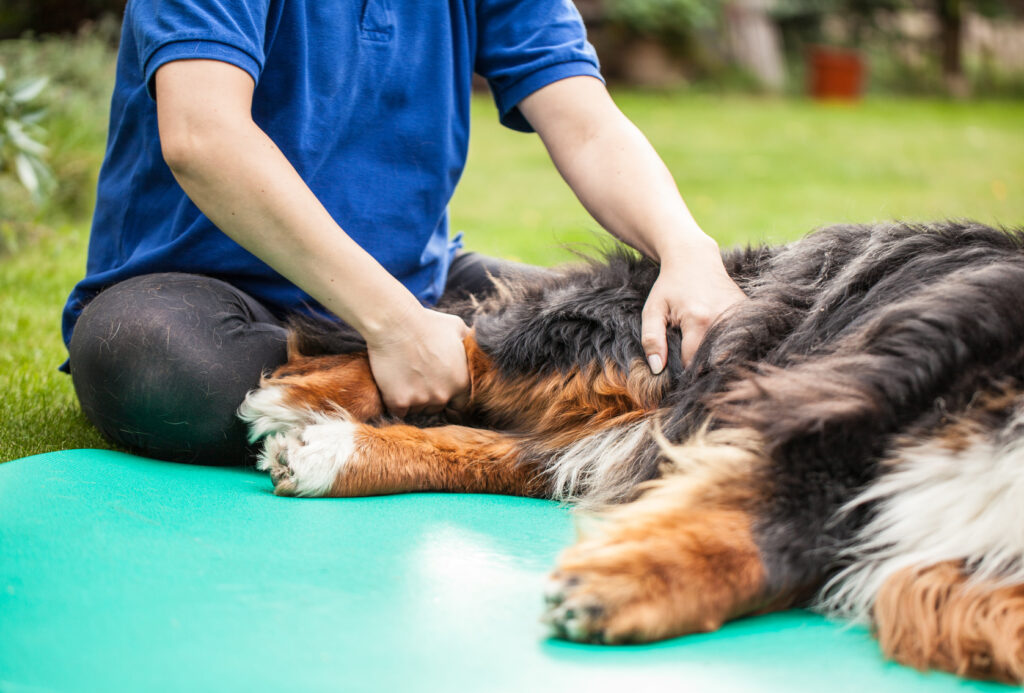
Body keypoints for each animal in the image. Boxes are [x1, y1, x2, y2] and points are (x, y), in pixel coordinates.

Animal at [235, 220, 1024, 679]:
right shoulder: (851, 396)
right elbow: (775, 525)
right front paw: (628, 580)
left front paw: (633, 582)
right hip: (656, 346)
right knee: (463, 343)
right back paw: (303, 397)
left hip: (645, 420)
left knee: (514, 448)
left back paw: (331, 451)